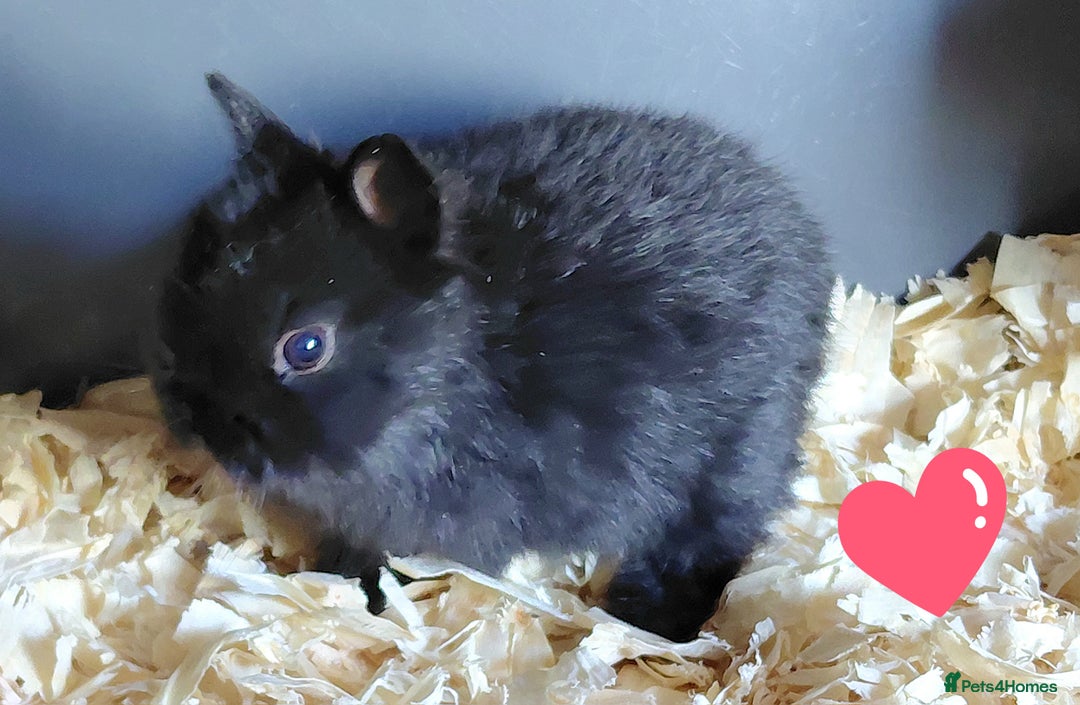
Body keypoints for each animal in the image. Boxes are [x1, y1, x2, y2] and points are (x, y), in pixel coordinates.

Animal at [152, 72, 832, 642]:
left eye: (306, 347)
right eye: (185, 289)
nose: (200, 429)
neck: (452, 375)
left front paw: (362, 591)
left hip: (731, 461)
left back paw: (647, 619)